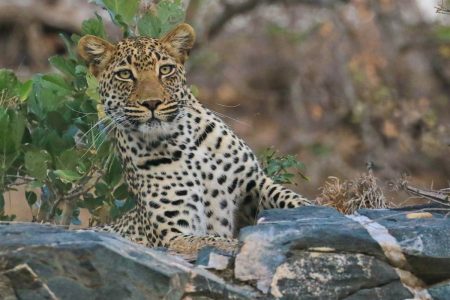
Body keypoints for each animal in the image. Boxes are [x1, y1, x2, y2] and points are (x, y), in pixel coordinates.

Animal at [77, 24, 312, 258]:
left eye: (165, 70)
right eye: (125, 74)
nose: (152, 103)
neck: (181, 142)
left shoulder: (255, 183)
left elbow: (297, 202)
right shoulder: (172, 236)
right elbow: (216, 241)